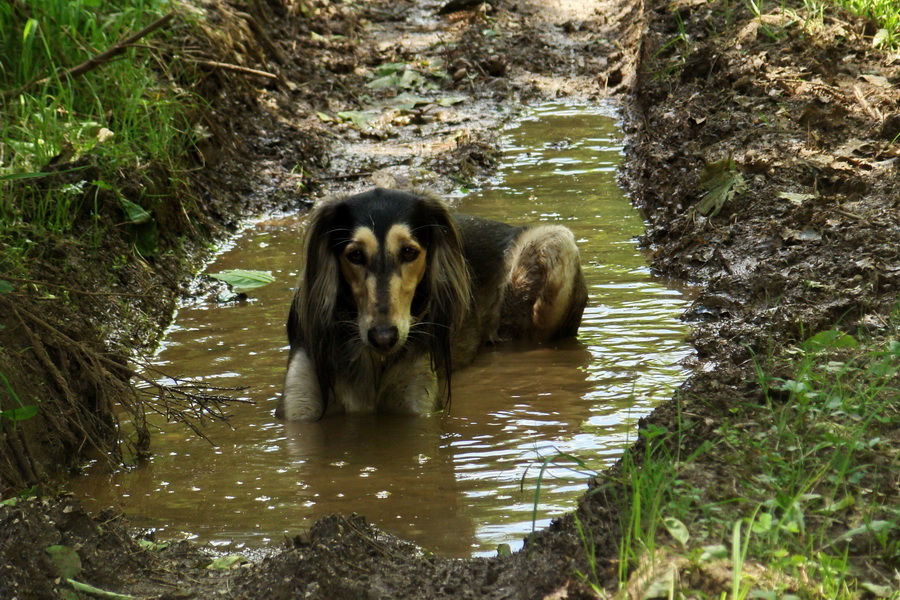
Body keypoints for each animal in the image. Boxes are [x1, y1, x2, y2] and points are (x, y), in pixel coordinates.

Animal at [278, 189, 588, 422]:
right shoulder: (299, 407)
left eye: (409, 252)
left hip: (556, 241)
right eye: (355, 255)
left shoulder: (417, 401)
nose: (383, 338)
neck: (373, 359)